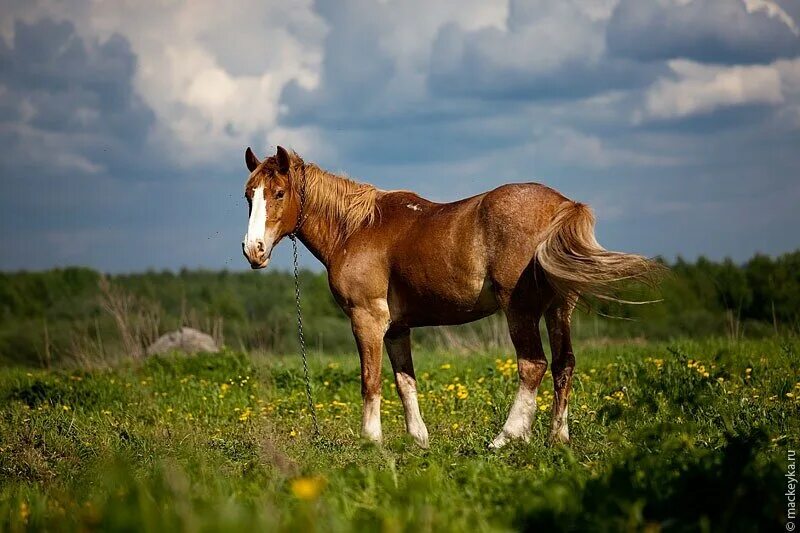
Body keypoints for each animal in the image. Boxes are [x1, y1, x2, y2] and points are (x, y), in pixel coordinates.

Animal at [241, 145, 660, 448]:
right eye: (248, 196)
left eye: (279, 193)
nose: (253, 250)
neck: (356, 229)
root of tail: (561, 205)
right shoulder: (397, 329)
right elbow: (404, 381)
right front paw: (419, 440)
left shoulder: (367, 319)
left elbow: (370, 380)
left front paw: (371, 440)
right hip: (560, 309)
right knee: (563, 365)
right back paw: (557, 439)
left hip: (520, 309)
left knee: (533, 365)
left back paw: (506, 438)